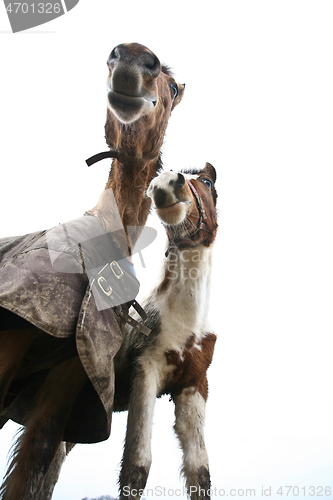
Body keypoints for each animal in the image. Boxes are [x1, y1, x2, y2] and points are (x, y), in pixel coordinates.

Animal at [113, 164, 218, 500]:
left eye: (207, 181)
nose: (165, 184)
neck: (187, 325)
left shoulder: (194, 384)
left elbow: (200, 472)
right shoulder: (146, 370)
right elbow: (136, 466)